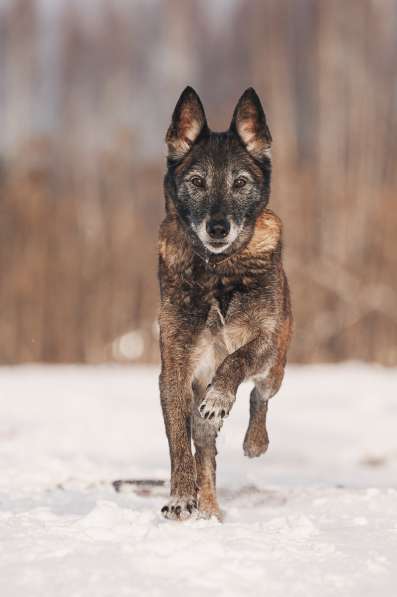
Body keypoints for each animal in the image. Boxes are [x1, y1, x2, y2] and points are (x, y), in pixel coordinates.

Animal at [157, 86, 290, 520]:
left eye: (240, 182)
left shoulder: (265, 341)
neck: (218, 271)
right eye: (197, 181)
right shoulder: (174, 369)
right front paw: (181, 495)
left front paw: (219, 396)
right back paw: (208, 507)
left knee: (259, 395)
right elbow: (179, 442)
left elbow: (237, 358)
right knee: (204, 449)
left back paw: (254, 441)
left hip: (276, 368)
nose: (218, 227)